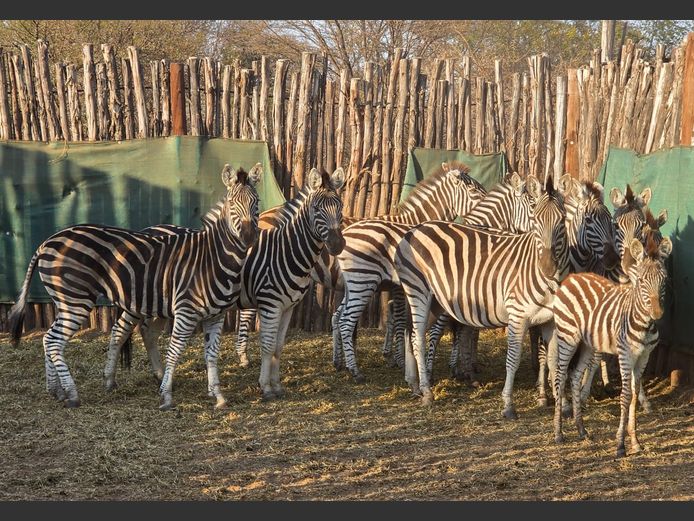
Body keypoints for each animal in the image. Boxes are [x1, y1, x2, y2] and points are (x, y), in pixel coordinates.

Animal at [7, 164, 262, 410]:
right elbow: (175, 351)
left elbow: (211, 355)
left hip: (74, 300)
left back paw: (56, 390)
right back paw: (71, 394)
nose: (249, 238)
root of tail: (46, 242)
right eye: (232, 203)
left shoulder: (216, 315)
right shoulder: (186, 311)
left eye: (256, 202)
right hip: (76, 300)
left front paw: (217, 396)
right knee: (54, 341)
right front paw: (166, 396)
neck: (213, 257)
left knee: (48, 338)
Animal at [332, 162, 487, 382]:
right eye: (474, 191)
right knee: (346, 322)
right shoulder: (403, 285)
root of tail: (346, 233)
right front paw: (404, 361)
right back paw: (355, 372)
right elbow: (402, 320)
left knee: (339, 318)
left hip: (352, 283)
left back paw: (340, 363)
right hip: (363, 281)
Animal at [395, 176, 569, 417]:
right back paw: (427, 392)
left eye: (562, 221)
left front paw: (562, 403)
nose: (547, 267)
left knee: (410, 332)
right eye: (535, 219)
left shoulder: (550, 320)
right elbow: (513, 359)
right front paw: (508, 404)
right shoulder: (517, 316)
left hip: (436, 302)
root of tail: (416, 228)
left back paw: (414, 384)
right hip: (418, 290)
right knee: (418, 338)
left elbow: (554, 361)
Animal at [551, 233, 672, 457]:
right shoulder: (625, 355)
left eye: (664, 280)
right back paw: (558, 433)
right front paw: (621, 445)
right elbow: (625, 396)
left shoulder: (644, 356)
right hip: (567, 336)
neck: (643, 324)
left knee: (575, 376)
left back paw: (581, 430)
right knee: (560, 377)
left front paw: (635, 442)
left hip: (587, 344)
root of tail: (572, 277)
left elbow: (635, 393)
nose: (657, 313)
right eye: (642, 280)